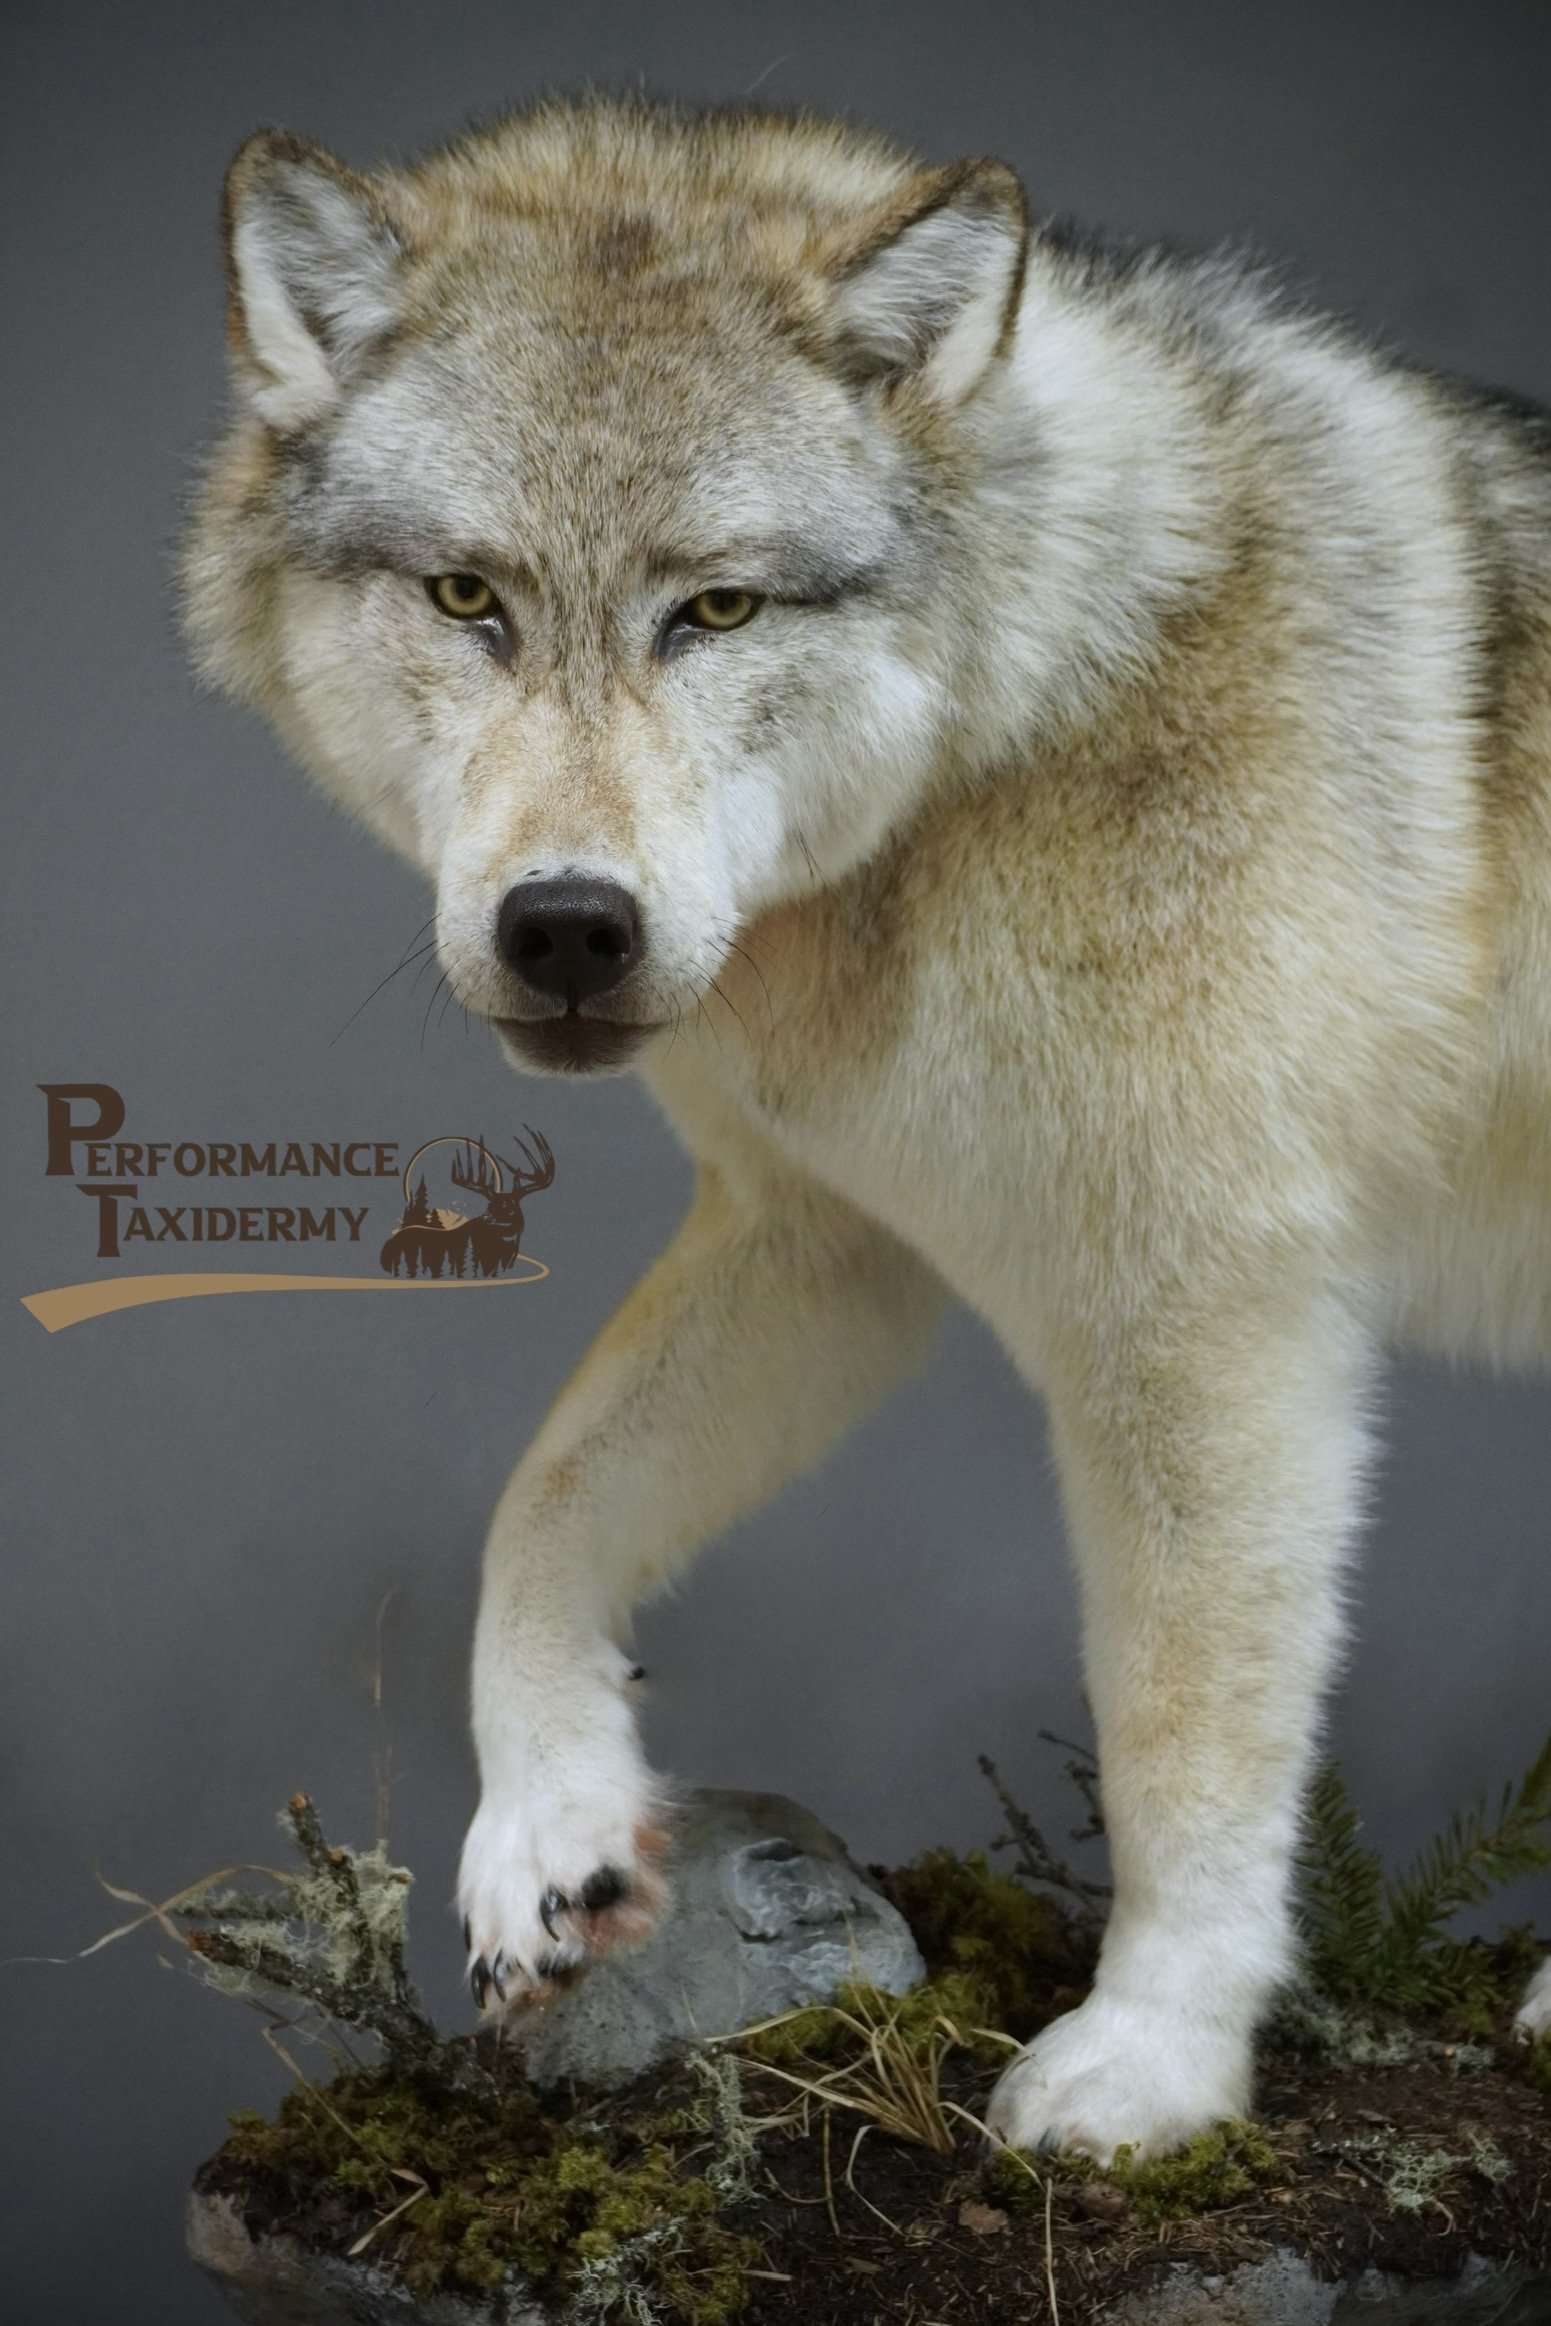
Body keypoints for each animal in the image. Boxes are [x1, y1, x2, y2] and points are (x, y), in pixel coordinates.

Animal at [184, 95, 1551, 2159]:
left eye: (718, 608)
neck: (1024, 733)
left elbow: (1184, 1741)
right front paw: (547, 1827)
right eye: (469, 598)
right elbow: (541, 1503)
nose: (567, 927)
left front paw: (1155, 2060)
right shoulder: (825, 1238)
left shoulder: (1203, 1320)